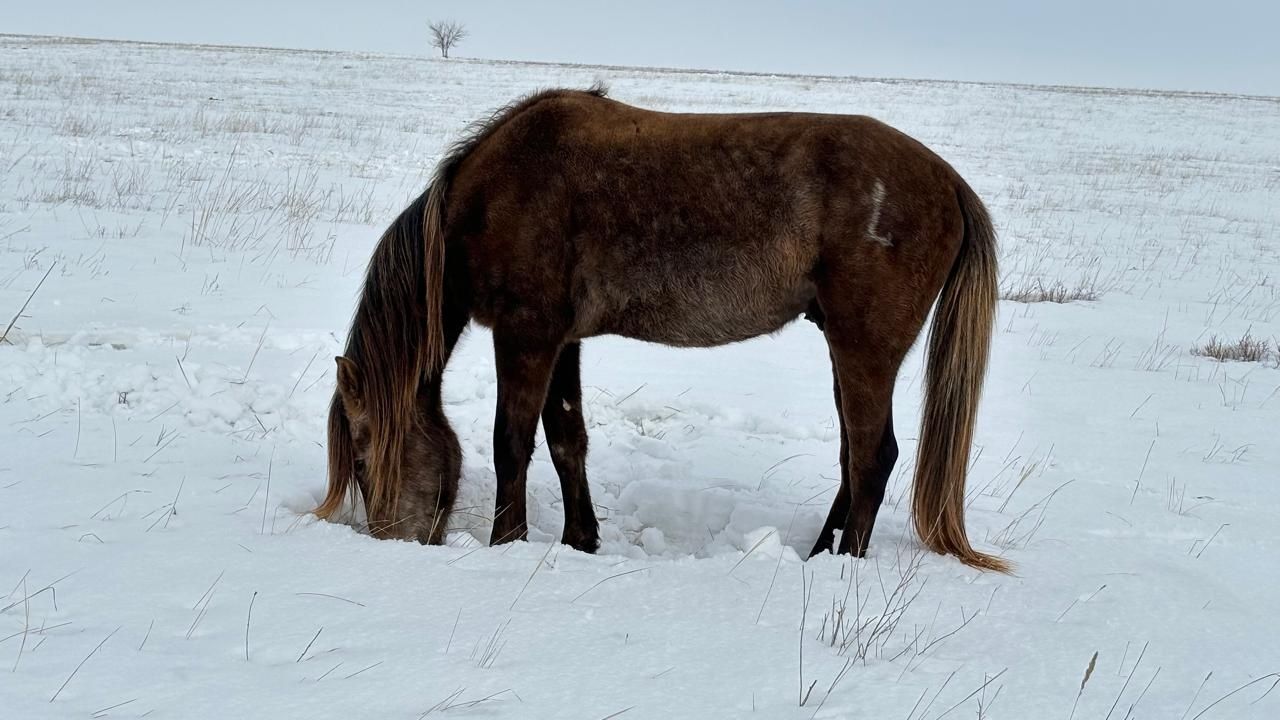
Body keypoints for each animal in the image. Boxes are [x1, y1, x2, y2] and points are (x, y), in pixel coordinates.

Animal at [312, 83, 1008, 568]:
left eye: (365, 456)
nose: (393, 540)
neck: (492, 197)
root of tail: (950, 183)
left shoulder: (526, 335)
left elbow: (511, 443)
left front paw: (506, 543)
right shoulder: (562, 341)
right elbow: (566, 441)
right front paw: (580, 540)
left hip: (863, 350)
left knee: (872, 457)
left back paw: (843, 567)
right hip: (845, 352)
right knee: (852, 457)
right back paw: (818, 553)